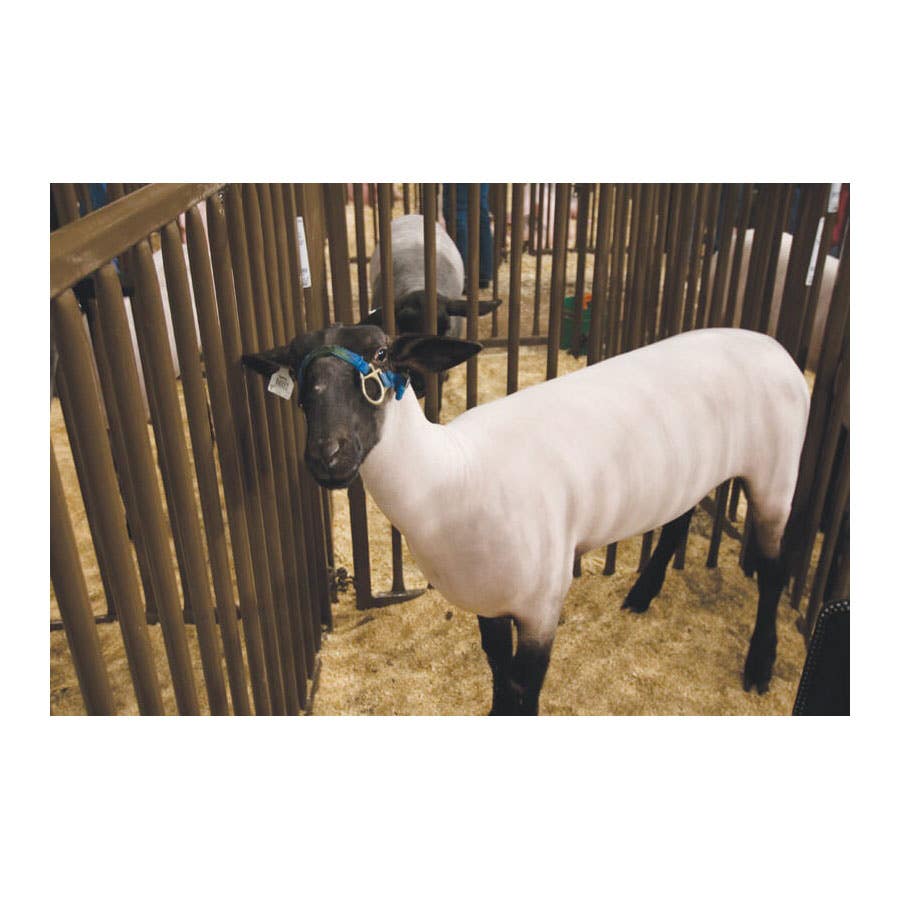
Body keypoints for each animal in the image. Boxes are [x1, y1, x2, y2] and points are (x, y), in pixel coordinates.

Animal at [243, 325, 810, 714]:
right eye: (295, 369)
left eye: (382, 356)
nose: (328, 456)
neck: (452, 475)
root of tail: (772, 344)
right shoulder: (489, 597)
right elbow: (498, 669)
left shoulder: (541, 604)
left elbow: (524, 683)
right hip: (691, 469)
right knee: (679, 520)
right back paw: (642, 594)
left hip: (777, 472)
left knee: (774, 569)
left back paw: (760, 664)